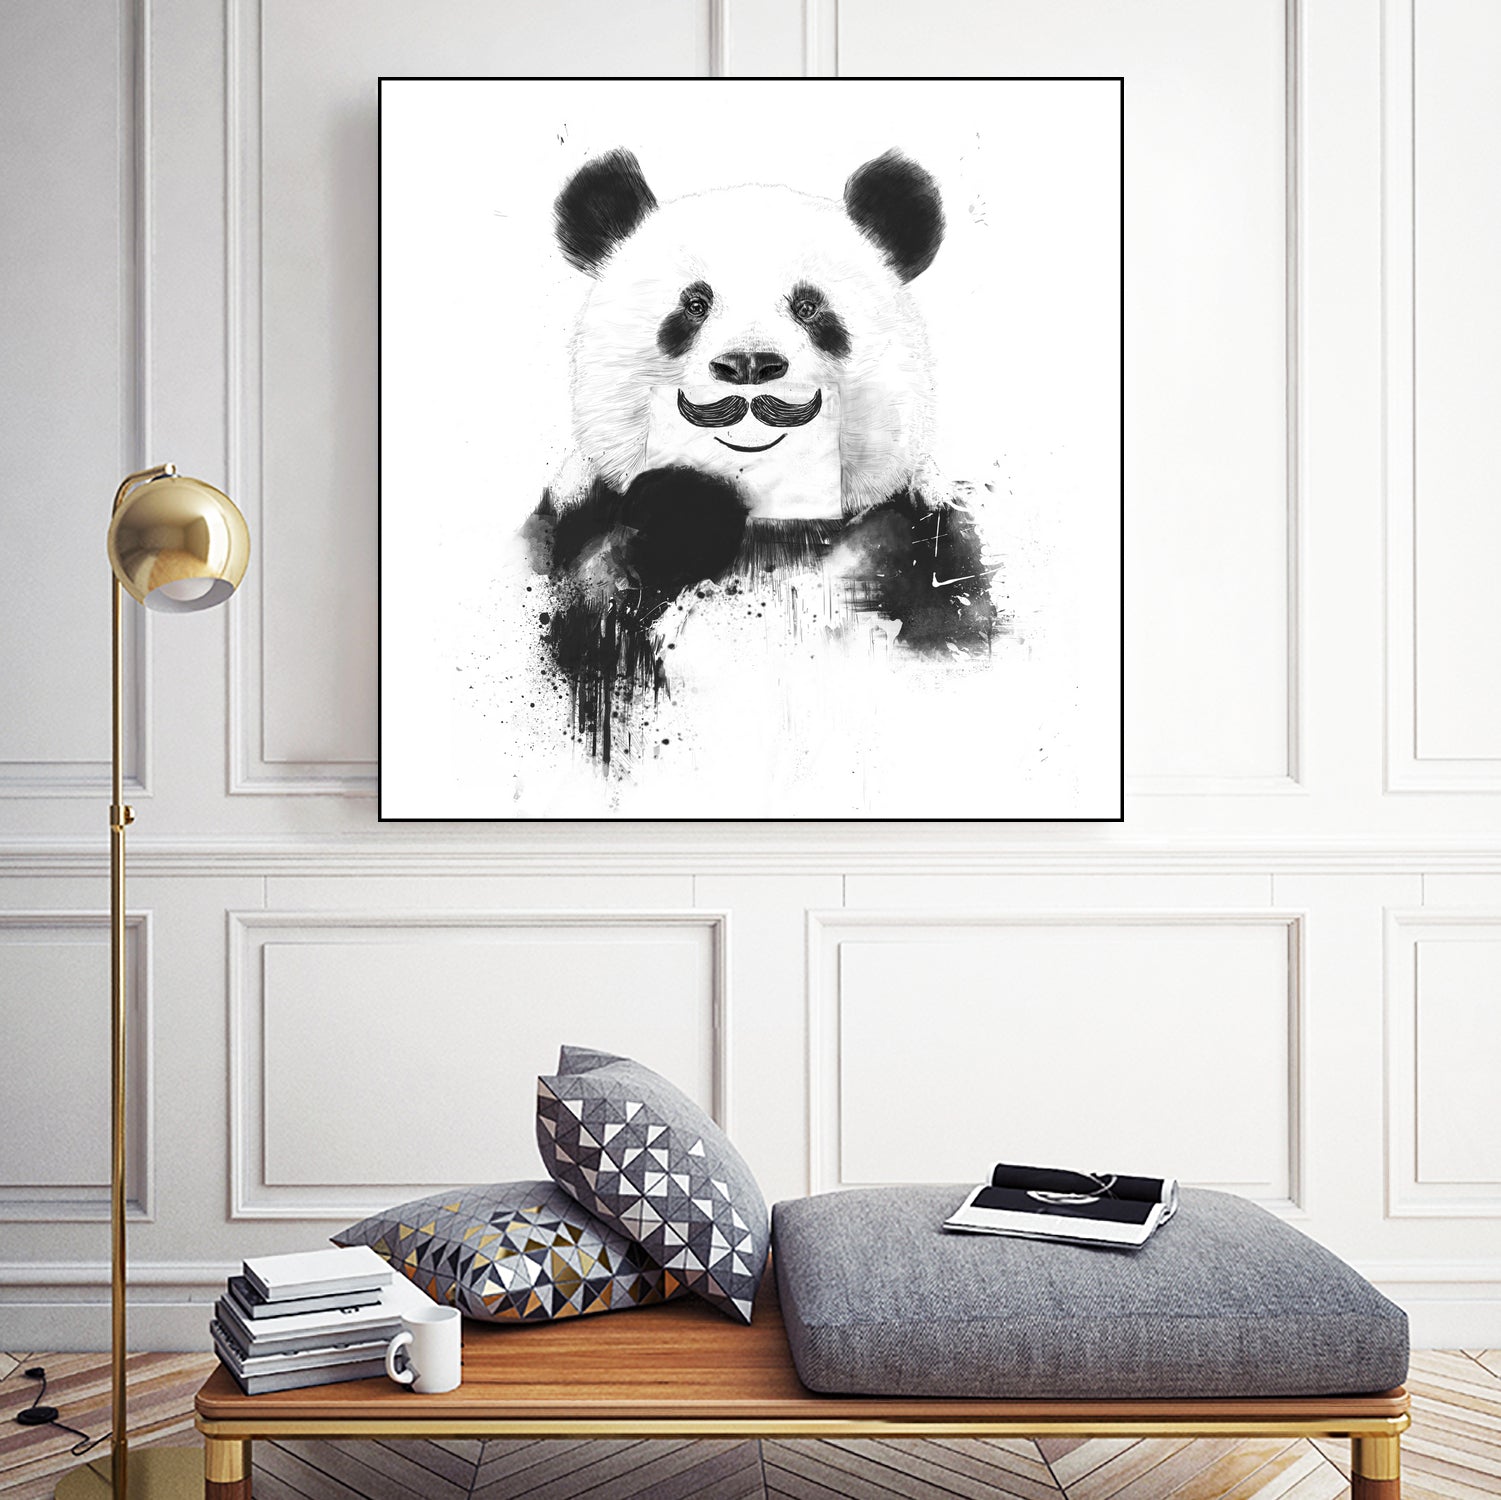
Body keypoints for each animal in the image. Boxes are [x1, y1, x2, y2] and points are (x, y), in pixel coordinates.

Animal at [524, 147, 998, 767]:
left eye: (809, 306)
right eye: (694, 304)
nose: (749, 364)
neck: (768, 526)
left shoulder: (918, 537)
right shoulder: (571, 530)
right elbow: (587, 614)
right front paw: (683, 511)